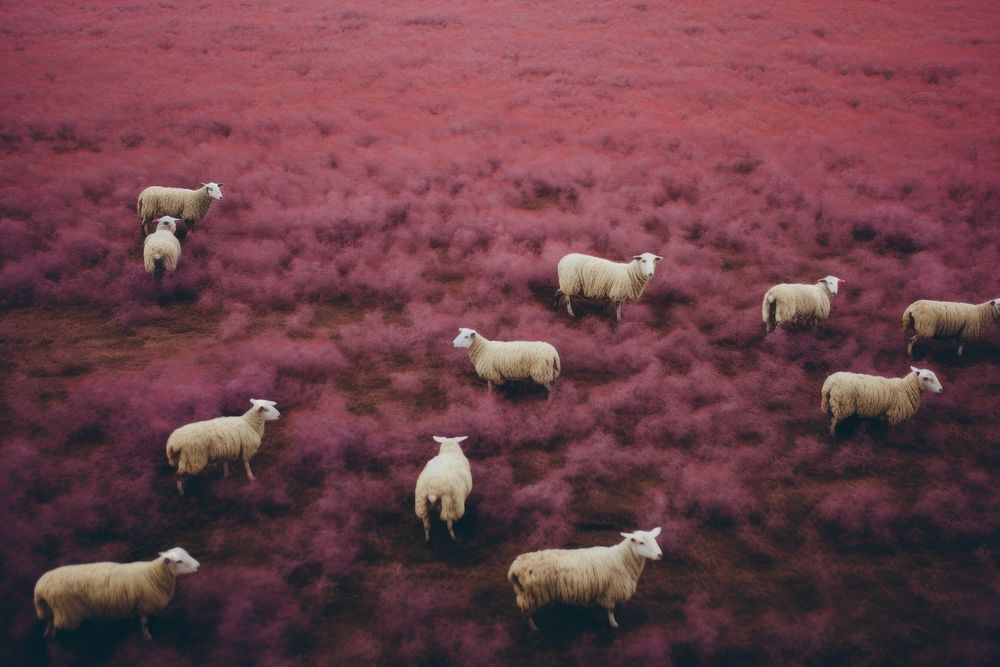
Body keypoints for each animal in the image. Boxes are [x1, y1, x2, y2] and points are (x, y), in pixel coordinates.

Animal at [32, 548, 199, 640]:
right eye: (179, 561)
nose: (198, 566)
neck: (153, 574)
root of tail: (40, 587)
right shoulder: (143, 604)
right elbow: (144, 623)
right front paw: (147, 638)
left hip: (56, 610)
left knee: (50, 627)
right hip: (69, 612)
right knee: (59, 628)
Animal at [508, 528, 664, 632]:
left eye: (654, 540)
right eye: (641, 542)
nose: (660, 555)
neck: (621, 558)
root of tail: (515, 567)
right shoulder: (610, 590)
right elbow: (611, 610)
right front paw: (613, 624)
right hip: (530, 594)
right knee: (527, 613)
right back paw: (534, 628)